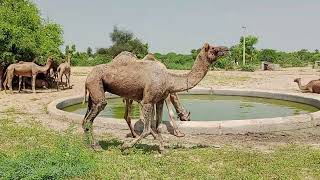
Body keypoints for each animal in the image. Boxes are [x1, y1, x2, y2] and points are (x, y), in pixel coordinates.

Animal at [82, 43, 228, 152]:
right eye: (214, 49)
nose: (227, 49)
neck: (169, 79)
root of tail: (87, 77)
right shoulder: (148, 100)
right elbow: (147, 129)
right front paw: (126, 146)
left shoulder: (159, 100)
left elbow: (159, 126)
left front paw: (163, 149)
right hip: (97, 87)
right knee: (93, 116)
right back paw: (97, 146)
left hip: (93, 96)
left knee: (85, 120)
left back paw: (87, 144)